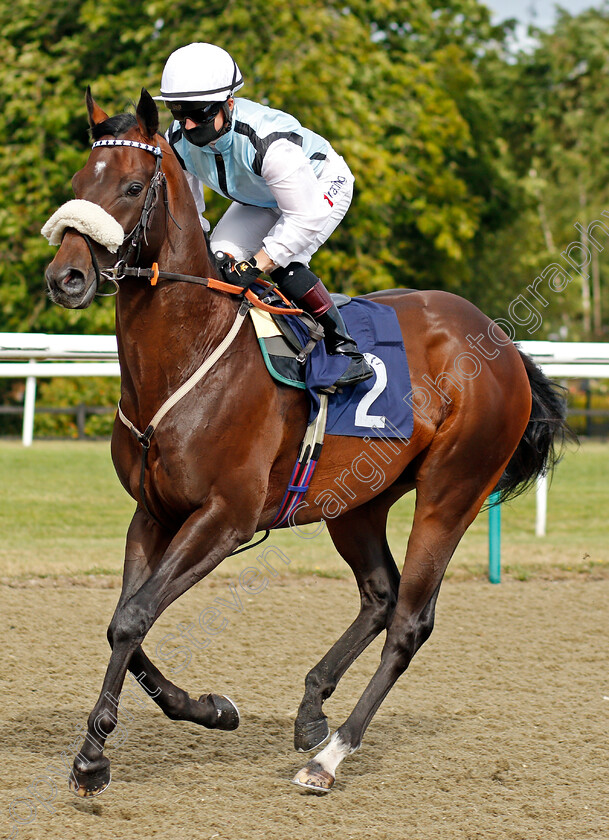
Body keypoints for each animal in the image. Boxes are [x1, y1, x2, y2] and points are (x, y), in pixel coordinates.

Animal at [44, 88, 568, 796]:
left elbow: (133, 618)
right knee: (380, 594)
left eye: (130, 186)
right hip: (358, 499)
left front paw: (93, 756)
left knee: (410, 620)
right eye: (79, 182)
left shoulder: (224, 518)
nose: (66, 277)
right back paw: (313, 708)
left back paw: (331, 755)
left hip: (452, 491)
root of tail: (503, 343)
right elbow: (127, 621)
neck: (187, 357)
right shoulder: (153, 513)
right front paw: (207, 708)